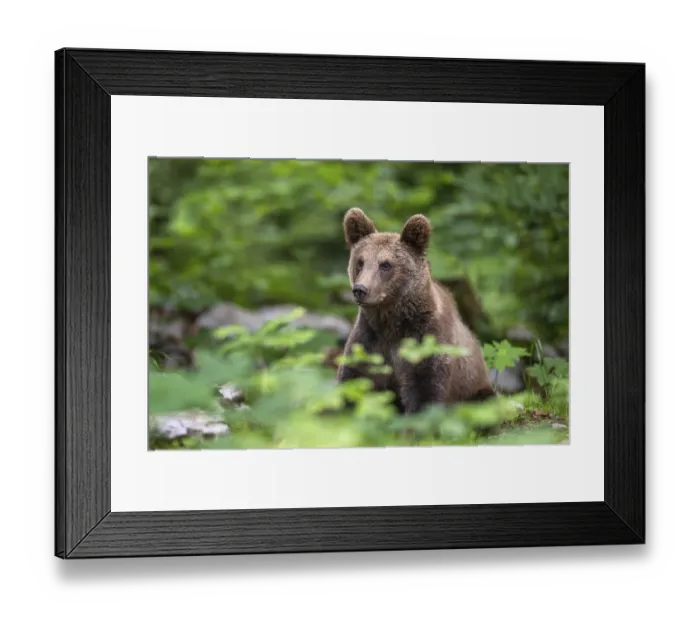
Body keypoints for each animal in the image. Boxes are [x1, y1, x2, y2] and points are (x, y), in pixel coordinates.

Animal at [336, 207, 496, 414]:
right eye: (360, 262)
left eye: (385, 264)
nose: (360, 289)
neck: (390, 319)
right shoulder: (369, 340)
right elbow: (354, 380)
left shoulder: (425, 339)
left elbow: (425, 390)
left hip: (475, 388)